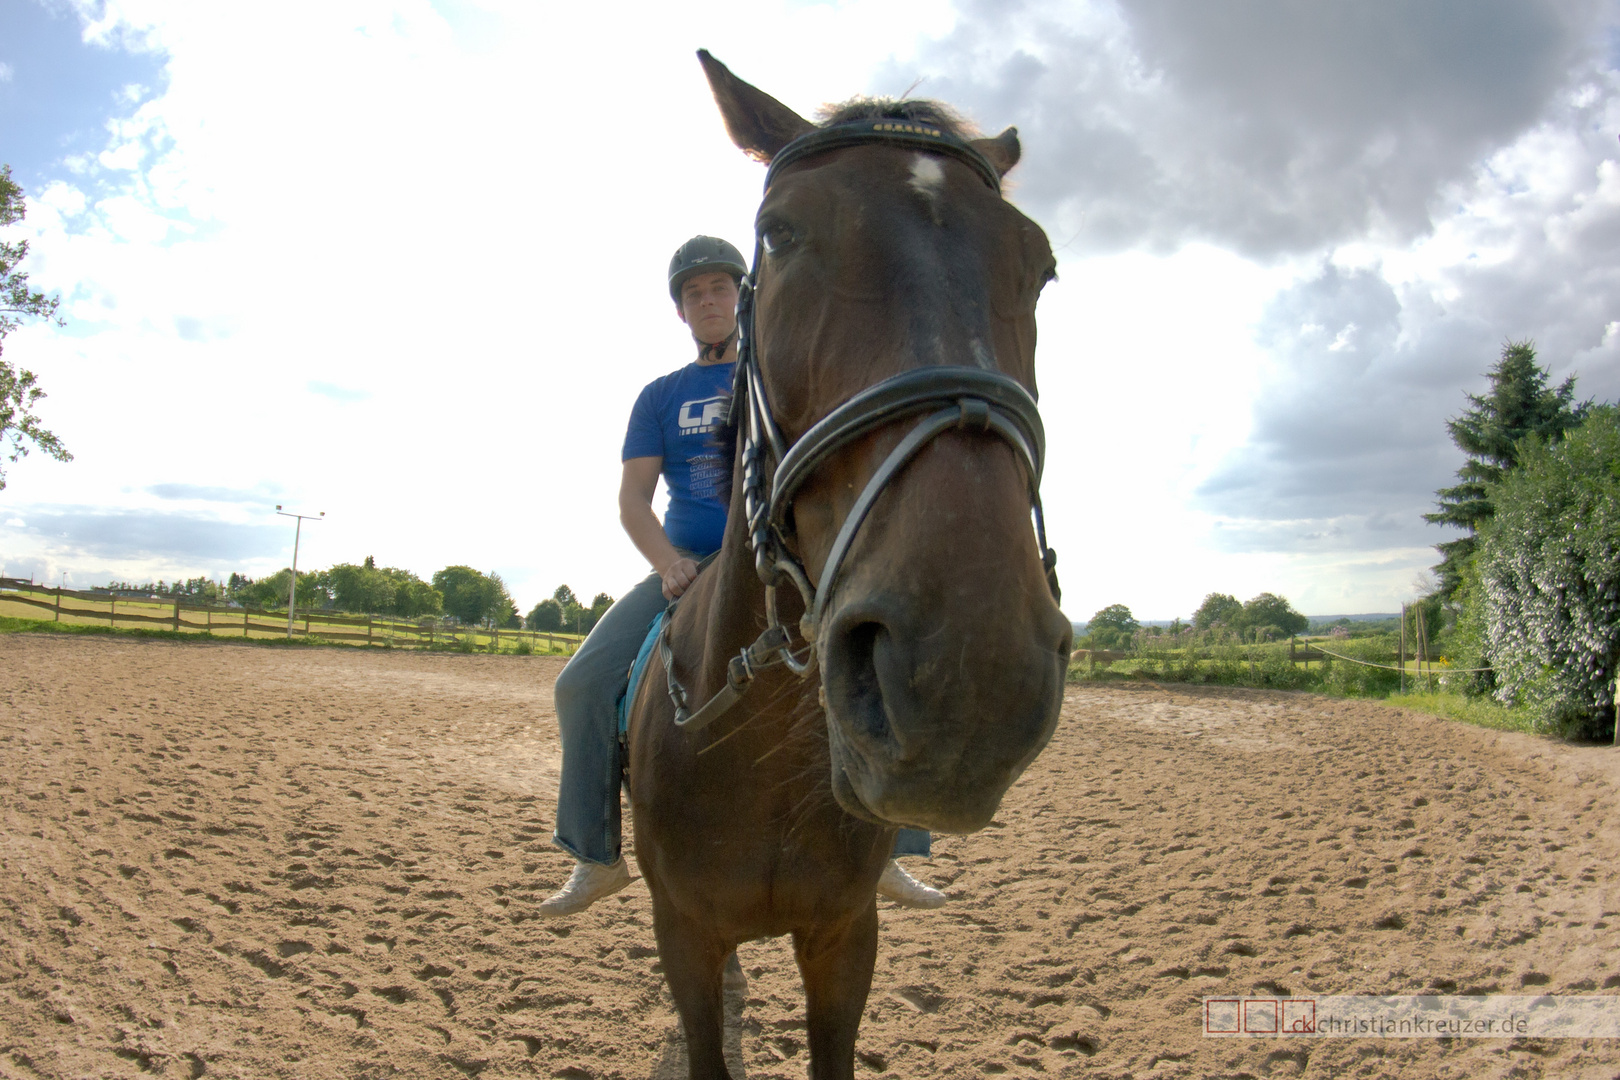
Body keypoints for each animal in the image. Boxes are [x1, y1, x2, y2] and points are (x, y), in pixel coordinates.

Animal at [625, 52, 1069, 1080]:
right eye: (780, 233)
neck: (759, 748)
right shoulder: (683, 935)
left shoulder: (843, 937)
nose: (972, 677)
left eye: (1040, 265)